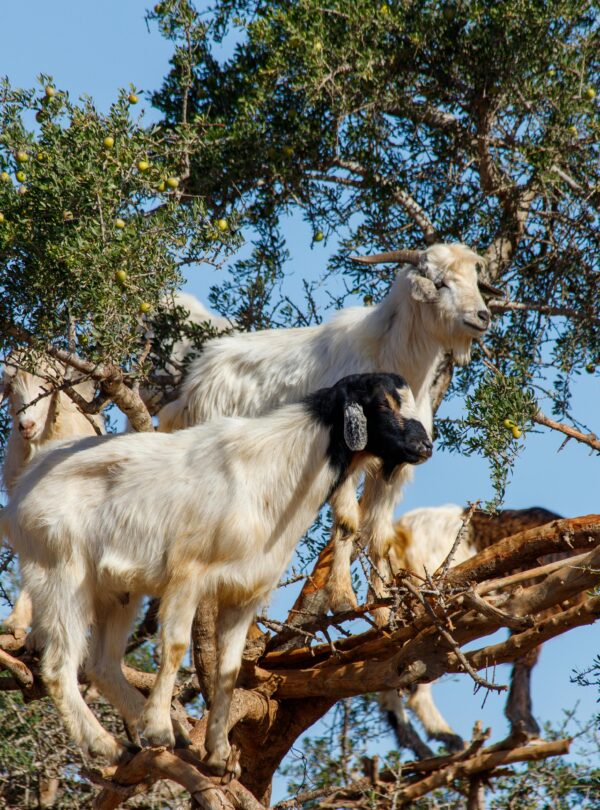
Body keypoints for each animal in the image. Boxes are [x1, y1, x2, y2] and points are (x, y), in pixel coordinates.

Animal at [158, 243, 500, 615]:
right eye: (440, 283)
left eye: (475, 280)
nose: (482, 316)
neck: (390, 353)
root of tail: (193, 385)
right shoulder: (344, 458)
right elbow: (348, 523)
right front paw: (343, 598)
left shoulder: (394, 466)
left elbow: (380, 537)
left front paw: (381, 609)